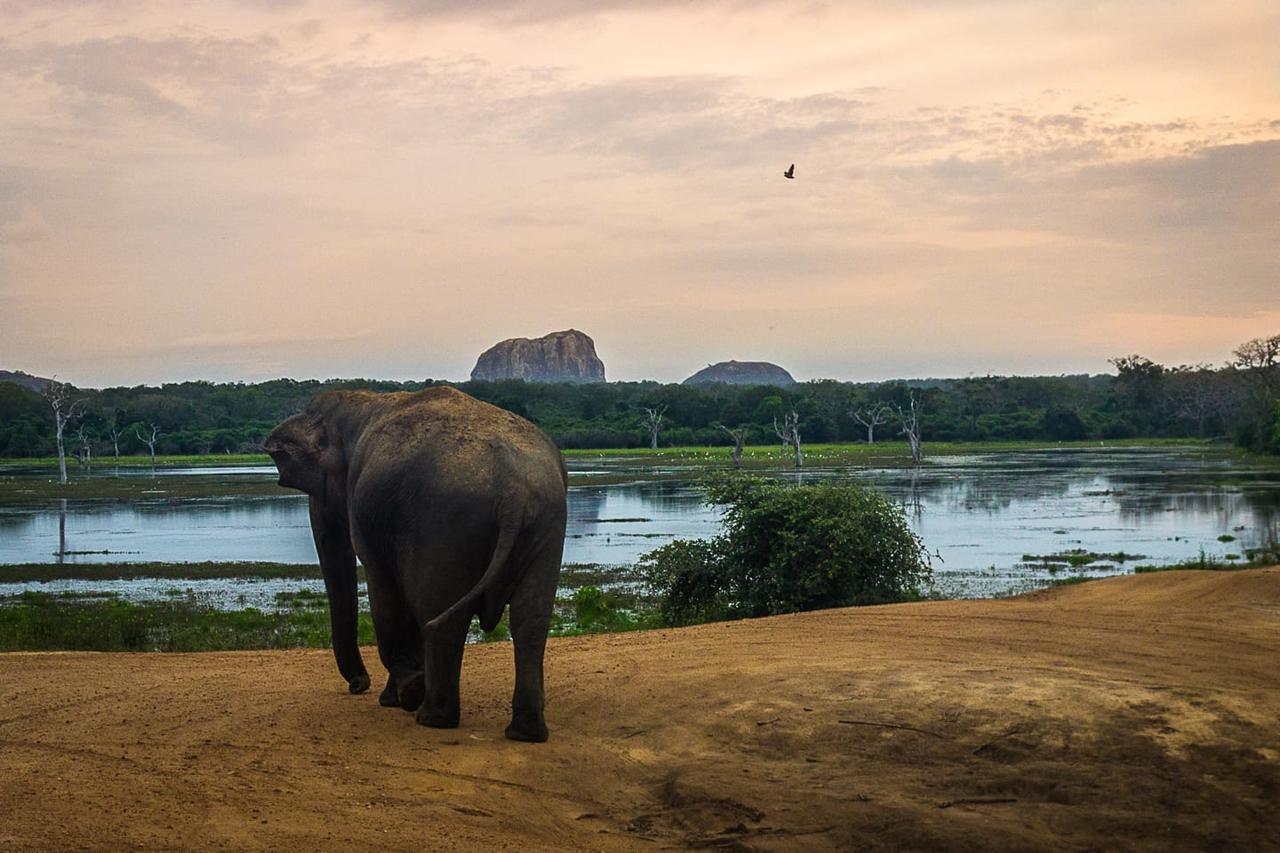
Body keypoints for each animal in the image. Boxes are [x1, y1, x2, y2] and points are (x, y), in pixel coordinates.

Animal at [263, 384, 565, 737]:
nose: (358, 685)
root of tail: (514, 492)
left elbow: (384, 592)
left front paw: (402, 694)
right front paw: (395, 696)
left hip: (447, 523)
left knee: (441, 616)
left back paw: (432, 717)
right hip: (547, 522)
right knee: (530, 620)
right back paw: (525, 733)